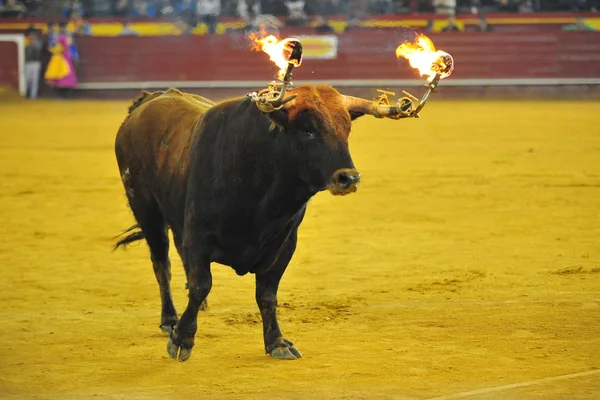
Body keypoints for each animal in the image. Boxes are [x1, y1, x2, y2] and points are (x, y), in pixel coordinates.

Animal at [114, 86, 390, 360]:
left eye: (346, 129)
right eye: (307, 130)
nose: (349, 178)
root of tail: (147, 101)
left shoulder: (285, 243)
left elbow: (267, 295)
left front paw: (277, 342)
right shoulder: (199, 234)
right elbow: (201, 285)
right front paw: (182, 339)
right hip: (147, 210)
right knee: (162, 264)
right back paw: (169, 319)